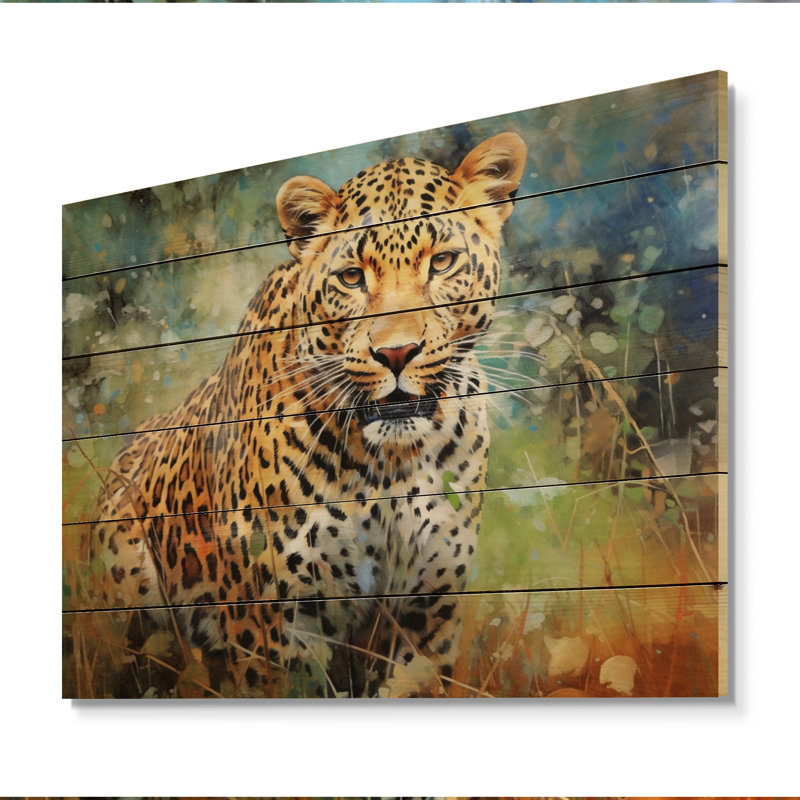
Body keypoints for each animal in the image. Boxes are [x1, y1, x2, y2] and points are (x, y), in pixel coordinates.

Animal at [89, 132, 527, 696]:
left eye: (443, 262)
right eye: (352, 277)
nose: (397, 353)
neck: (391, 467)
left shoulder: (427, 613)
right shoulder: (274, 629)